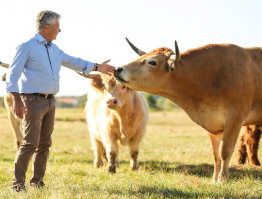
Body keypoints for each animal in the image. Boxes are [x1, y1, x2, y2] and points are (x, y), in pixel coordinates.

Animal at [114, 38, 262, 183]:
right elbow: (215, 154)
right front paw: (214, 180)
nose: (117, 69)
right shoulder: (212, 123)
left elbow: (225, 150)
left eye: (152, 62)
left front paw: (222, 179)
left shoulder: (235, 118)